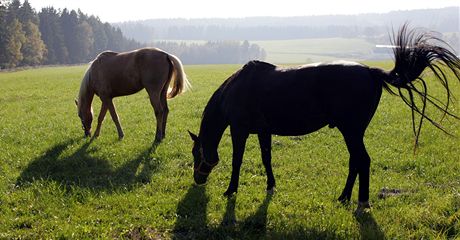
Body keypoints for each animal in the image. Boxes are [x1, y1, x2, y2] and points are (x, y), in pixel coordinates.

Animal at [189, 23, 460, 209]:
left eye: (195, 153)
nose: (198, 180)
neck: (235, 90)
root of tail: (371, 72)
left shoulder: (240, 130)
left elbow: (237, 161)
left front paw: (230, 190)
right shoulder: (264, 131)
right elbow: (267, 159)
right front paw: (271, 186)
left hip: (351, 130)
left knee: (362, 160)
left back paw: (361, 202)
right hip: (353, 132)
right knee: (355, 161)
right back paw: (344, 197)